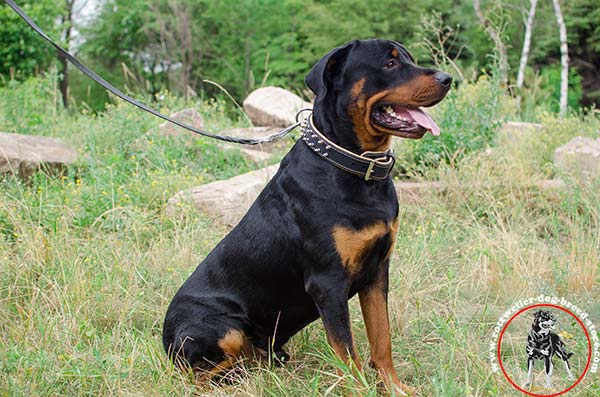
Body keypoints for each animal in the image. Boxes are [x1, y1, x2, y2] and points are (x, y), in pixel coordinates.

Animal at [162, 38, 452, 394]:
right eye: (390, 64)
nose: (447, 78)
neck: (357, 167)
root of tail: (164, 336)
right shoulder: (327, 283)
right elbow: (348, 353)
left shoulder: (377, 272)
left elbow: (381, 340)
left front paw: (395, 388)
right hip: (219, 330)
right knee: (195, 375)